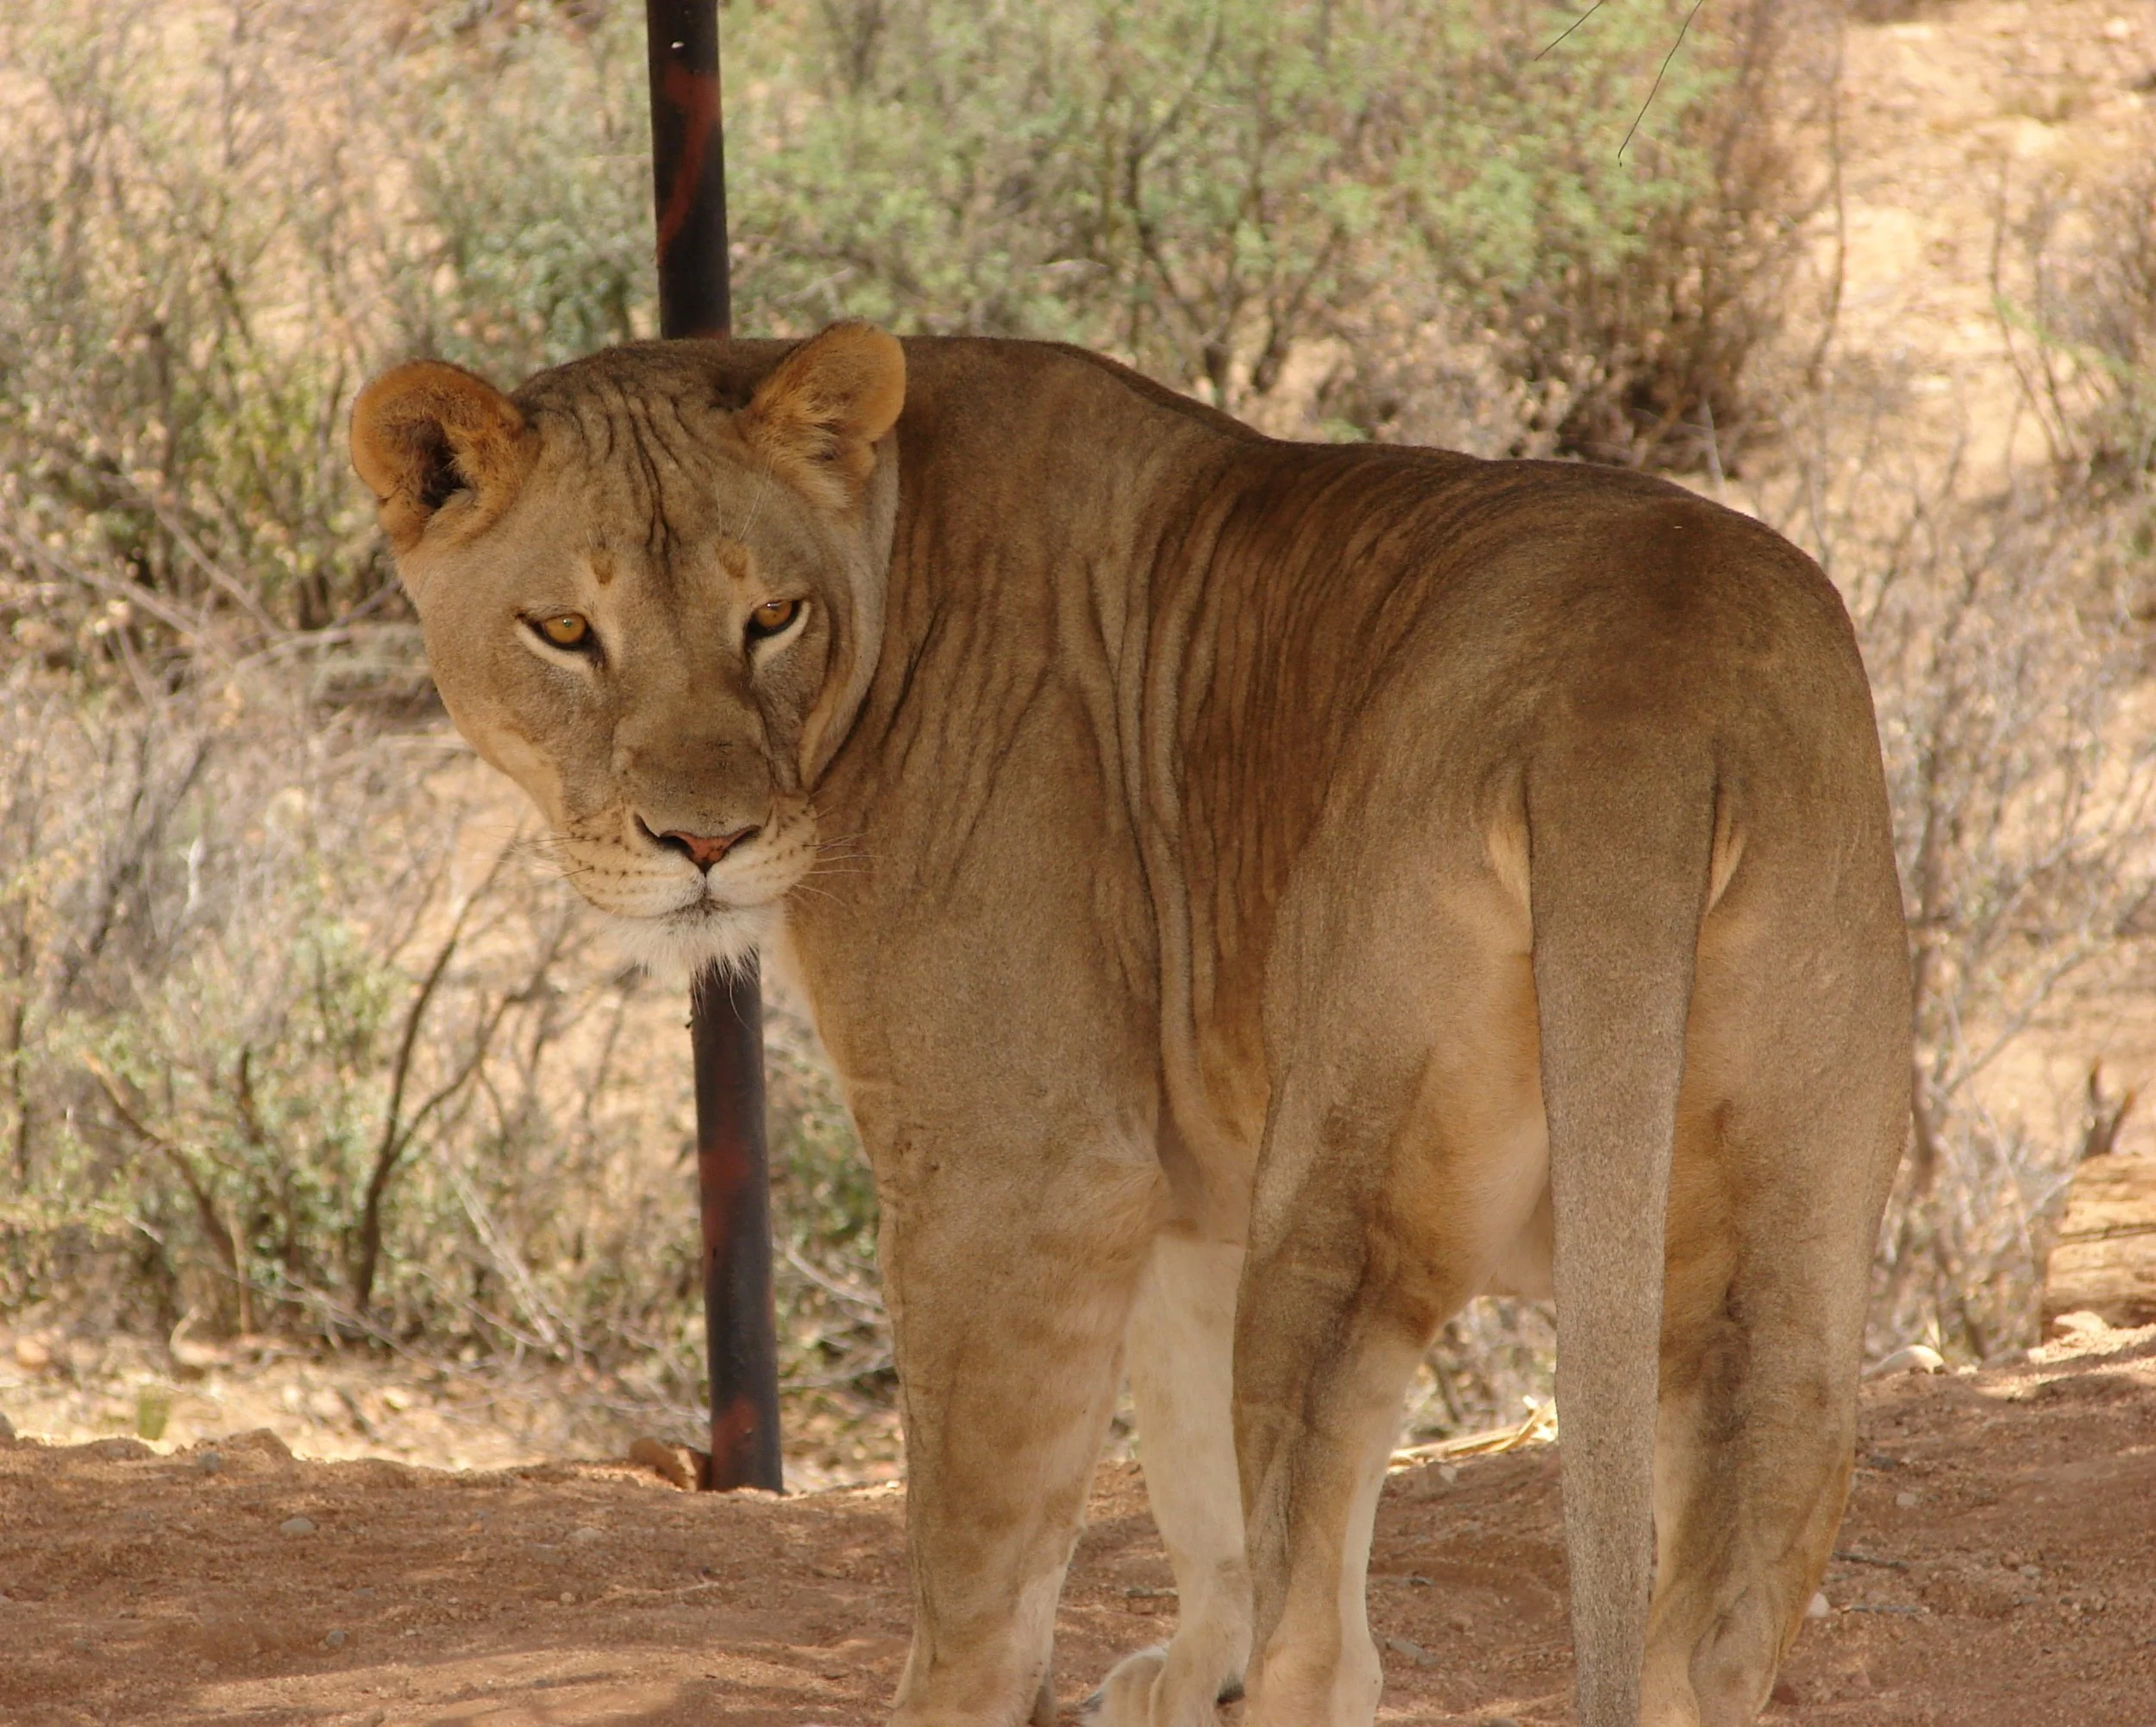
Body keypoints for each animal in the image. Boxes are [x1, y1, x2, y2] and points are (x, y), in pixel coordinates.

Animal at [350, 323, 1910, 1727]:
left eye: (771, 618)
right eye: (566, 632)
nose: (706, 842)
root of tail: (1636, 704)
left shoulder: (1024, 1170)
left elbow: (983, 1537)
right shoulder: (1171, 1178)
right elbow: (1185, 1457)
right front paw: (1189, 1668)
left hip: (1345, 1196)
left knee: (1325, 1650)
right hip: (1774, 1229)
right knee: (1729, 1572)